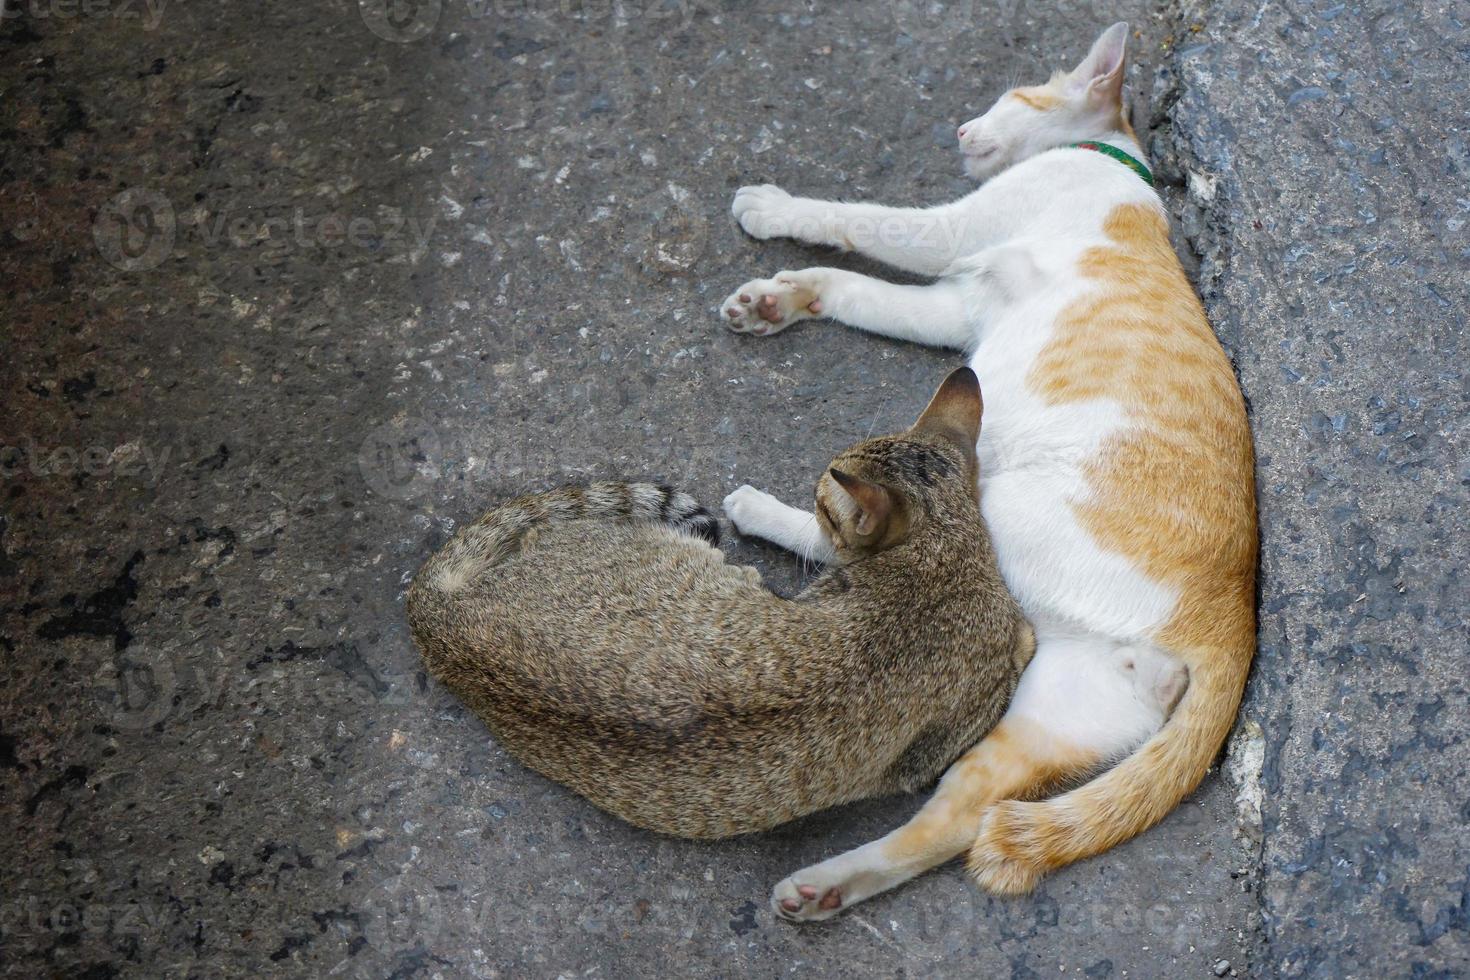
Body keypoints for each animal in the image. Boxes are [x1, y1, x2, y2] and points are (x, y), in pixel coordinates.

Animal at [717, 24, 1258, 928]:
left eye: (1011, 96)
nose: (963, 129)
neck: (1119, 161)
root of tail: (1236, 622)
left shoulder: (948, 238)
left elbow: (857, 223)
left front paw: (772, 209)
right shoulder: (949, 307)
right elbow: (854, 288)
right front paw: (777, 300)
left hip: (995, 500)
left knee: (867, 539)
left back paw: (772, 510)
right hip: (1049, 716)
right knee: (958, 814)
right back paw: (826, 886)